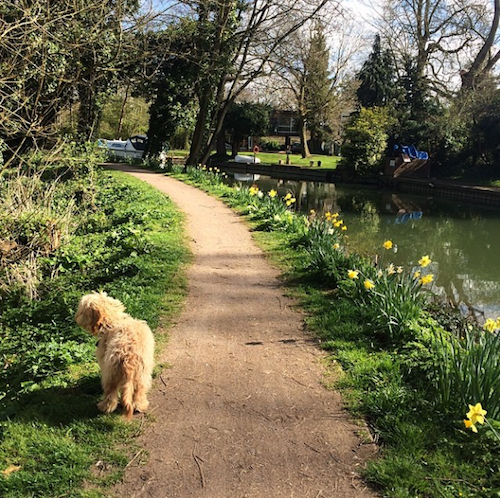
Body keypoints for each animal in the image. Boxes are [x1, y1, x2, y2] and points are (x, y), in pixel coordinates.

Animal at [74, 292, 154, 420]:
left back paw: (104, 407)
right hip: (143, 373)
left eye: (81, 310)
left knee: (110, 393)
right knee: (139, 390)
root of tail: (129, 357)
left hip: (110, 374)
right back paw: (140, 405)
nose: (76, 316)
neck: (112, 323)